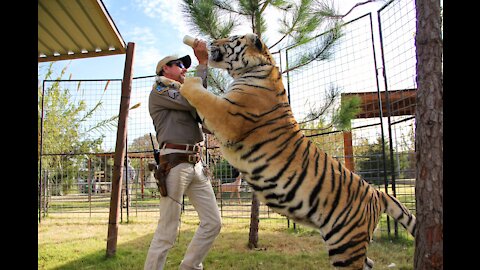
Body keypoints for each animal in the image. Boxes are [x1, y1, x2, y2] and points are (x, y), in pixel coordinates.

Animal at [178, 32, 414, 268]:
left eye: (232, 38)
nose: (210, 42)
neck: (257, 68)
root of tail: (377, 193)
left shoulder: (227, 116)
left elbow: (200, 94)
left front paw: (186, 80)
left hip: (345, 245)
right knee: (369, 262)